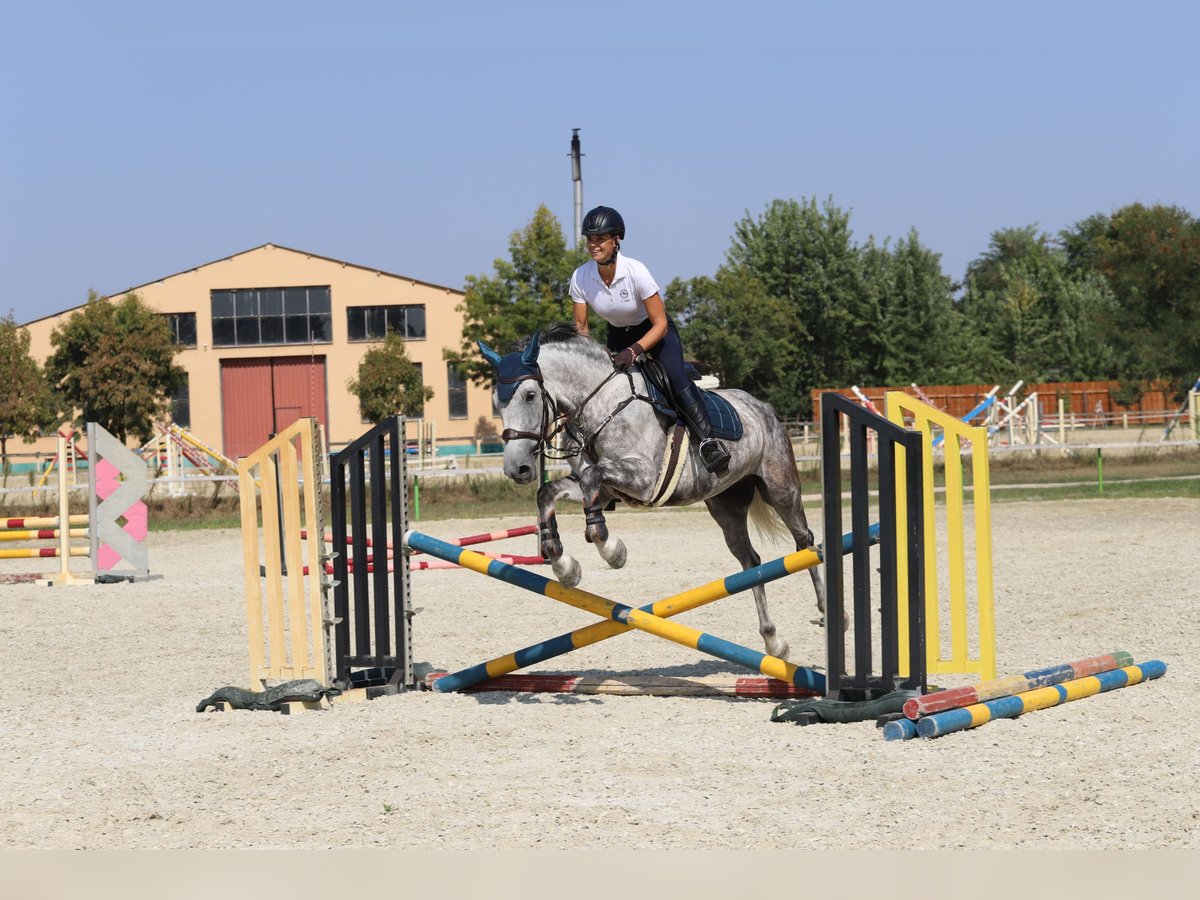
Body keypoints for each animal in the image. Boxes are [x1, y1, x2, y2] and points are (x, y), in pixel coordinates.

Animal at [475, 326, 825, 662]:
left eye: (530, 395)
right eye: (496, 403)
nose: (517, 468)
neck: (600, 405)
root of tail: (762, 407)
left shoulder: (643, 479)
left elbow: (592, 477)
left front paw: (610, 548)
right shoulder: (604, 491)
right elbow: (551, 492)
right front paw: (564, 564)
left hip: (781, 489)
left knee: (805, 541)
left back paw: (827, 612)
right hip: (726, 505)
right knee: (751, 561)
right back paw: (774, 641)